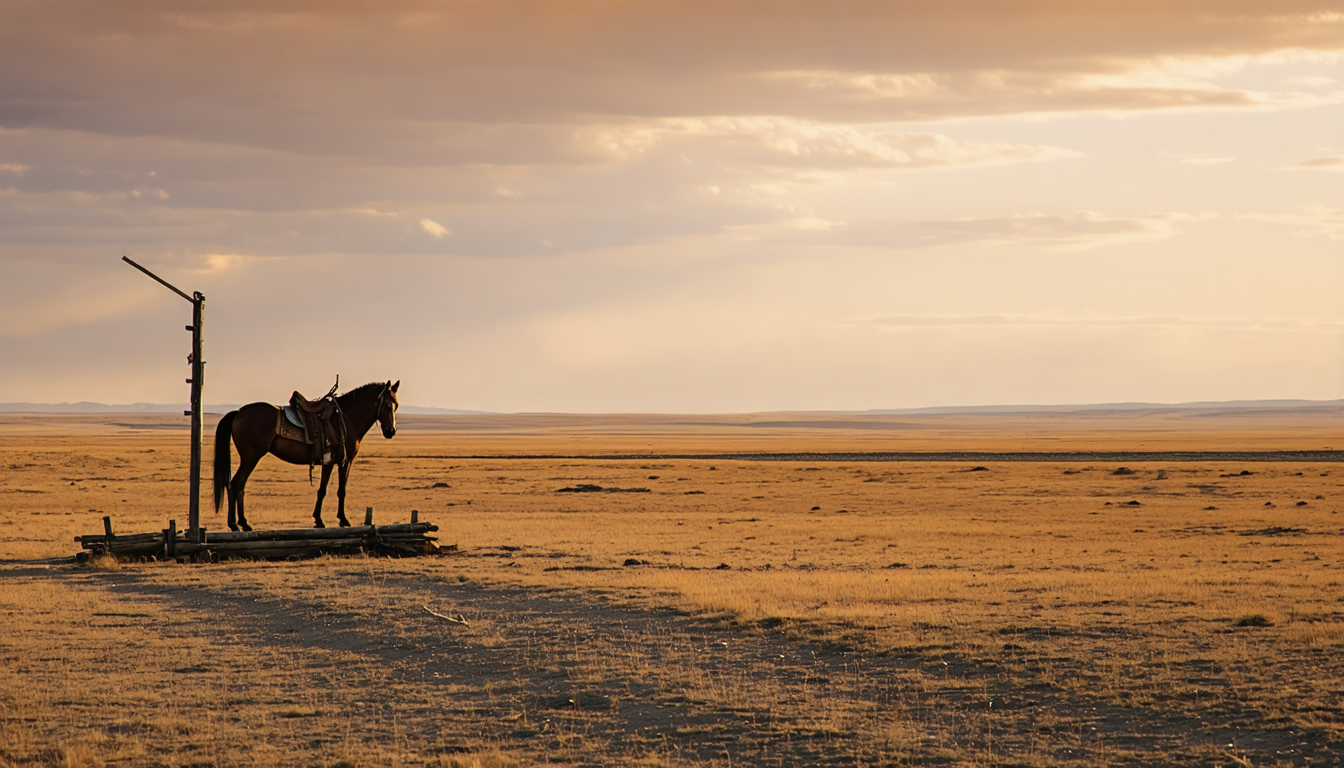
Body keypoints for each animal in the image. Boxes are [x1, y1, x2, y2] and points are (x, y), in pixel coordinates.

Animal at [212, 380, 400, 531]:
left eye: (396, 405)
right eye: (387, 406)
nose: (391, 431)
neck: (348, 418)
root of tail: (239, 412)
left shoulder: (329, 462)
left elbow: (322, 490)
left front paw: (318, 520)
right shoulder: (345, 461)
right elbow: (341, 490)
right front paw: (343, 520)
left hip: (249, 459)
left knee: (240, 486)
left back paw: (243, 523)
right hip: (251, 458)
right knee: (235, 485)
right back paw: (234, 524)